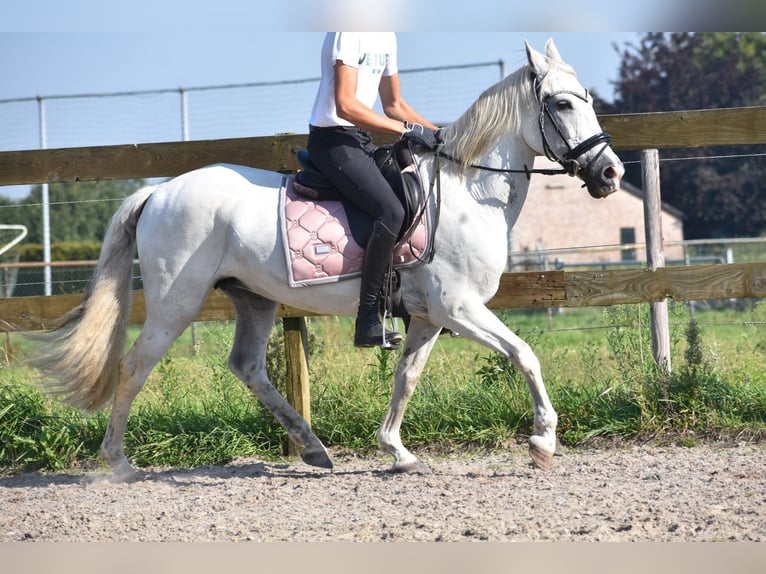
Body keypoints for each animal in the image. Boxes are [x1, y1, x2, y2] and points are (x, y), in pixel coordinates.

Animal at [34, 40, 624, 482]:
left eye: (586, 98)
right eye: (563, 104)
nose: (611, 173)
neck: (466, 193)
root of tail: (157, 192)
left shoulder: (431, 316)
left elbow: (406, 376)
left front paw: (397, 451)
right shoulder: (458, 308)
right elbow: (525, 354)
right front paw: (543, 441)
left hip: (253, 299)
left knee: (247, 367)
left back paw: (314, 449)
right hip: (176, 302)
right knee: (134, 366)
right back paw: (119, 463)